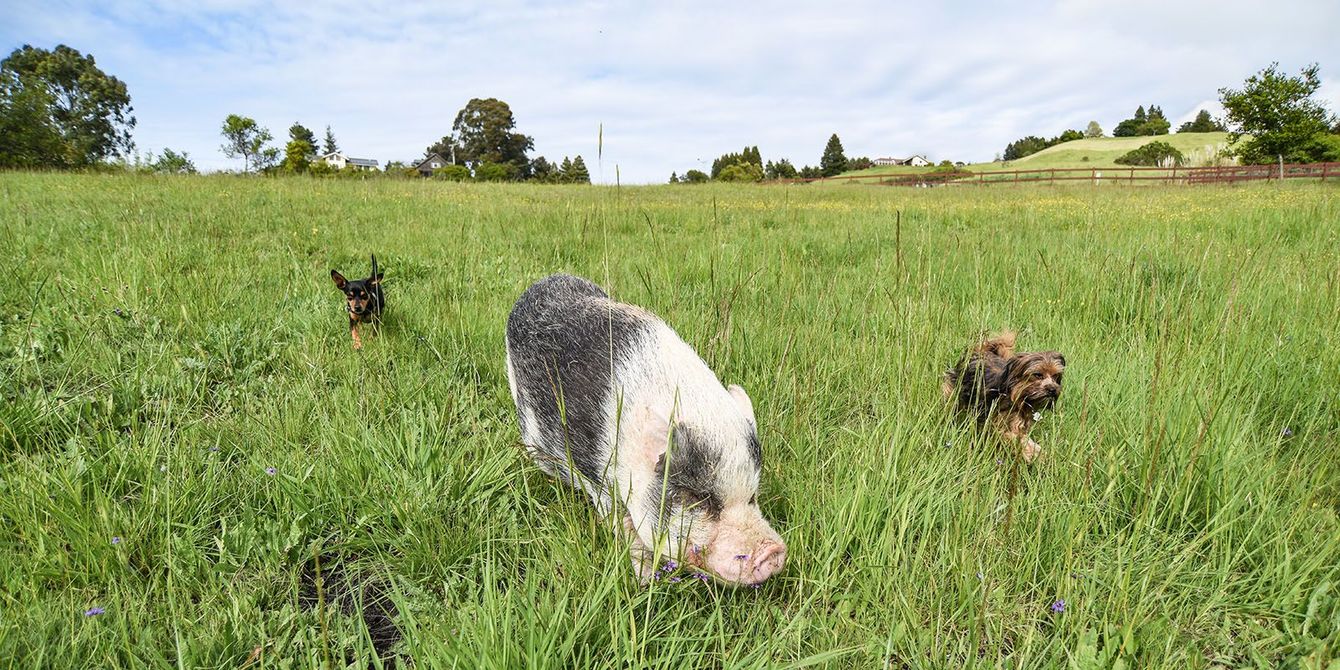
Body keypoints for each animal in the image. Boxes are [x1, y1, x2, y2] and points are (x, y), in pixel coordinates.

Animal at [504, 274, 787, 586]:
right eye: (699, 498)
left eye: (752, 496)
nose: (773, 551)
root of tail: (542, 282)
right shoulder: (596, 478)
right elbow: (619, 520)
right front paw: (646, 579)